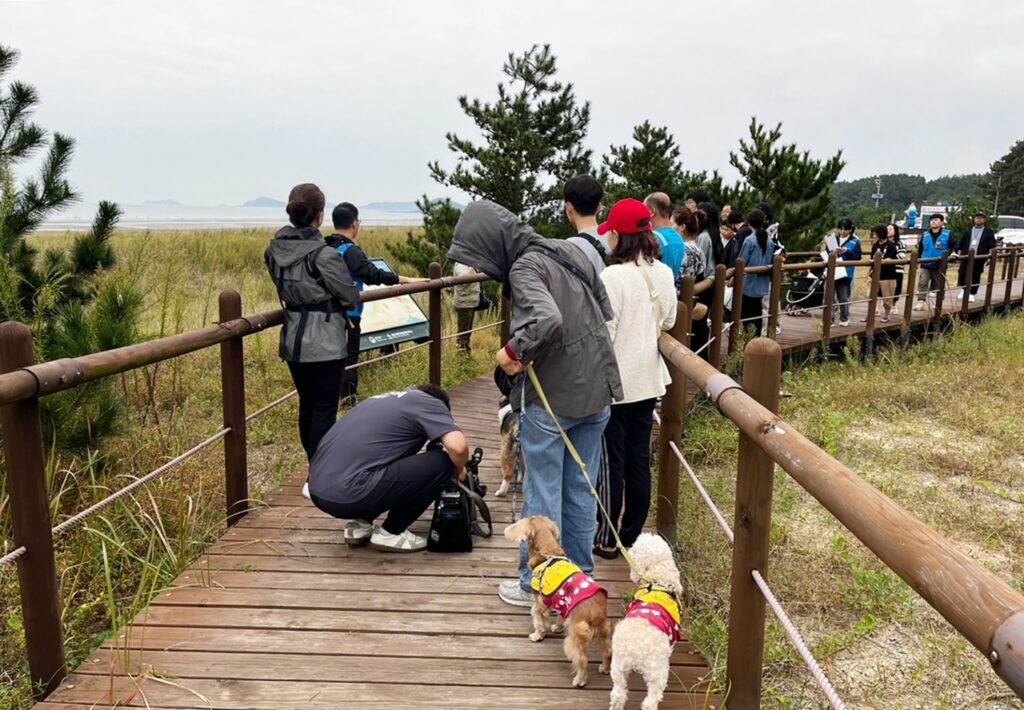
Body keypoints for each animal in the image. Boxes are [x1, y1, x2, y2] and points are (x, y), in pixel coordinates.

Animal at [501, 514, 606, 688]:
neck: (547, 552)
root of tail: (596, 611)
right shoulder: (561, 602)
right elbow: (560, 617)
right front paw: (557, 627)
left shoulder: (539, 605)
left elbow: (539, 622)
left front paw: (537, 635)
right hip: (603, 632)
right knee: (608, 651)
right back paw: (604, 667)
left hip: (574, 639)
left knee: (582, 659)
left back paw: (580, 679)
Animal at [610, 532, 684, 708]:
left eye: (634, 549)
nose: (628, 548)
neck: (659, 577)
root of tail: (635, 648)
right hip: (658, 672)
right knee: (651, 701)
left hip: (617, 666)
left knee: (618, 693)